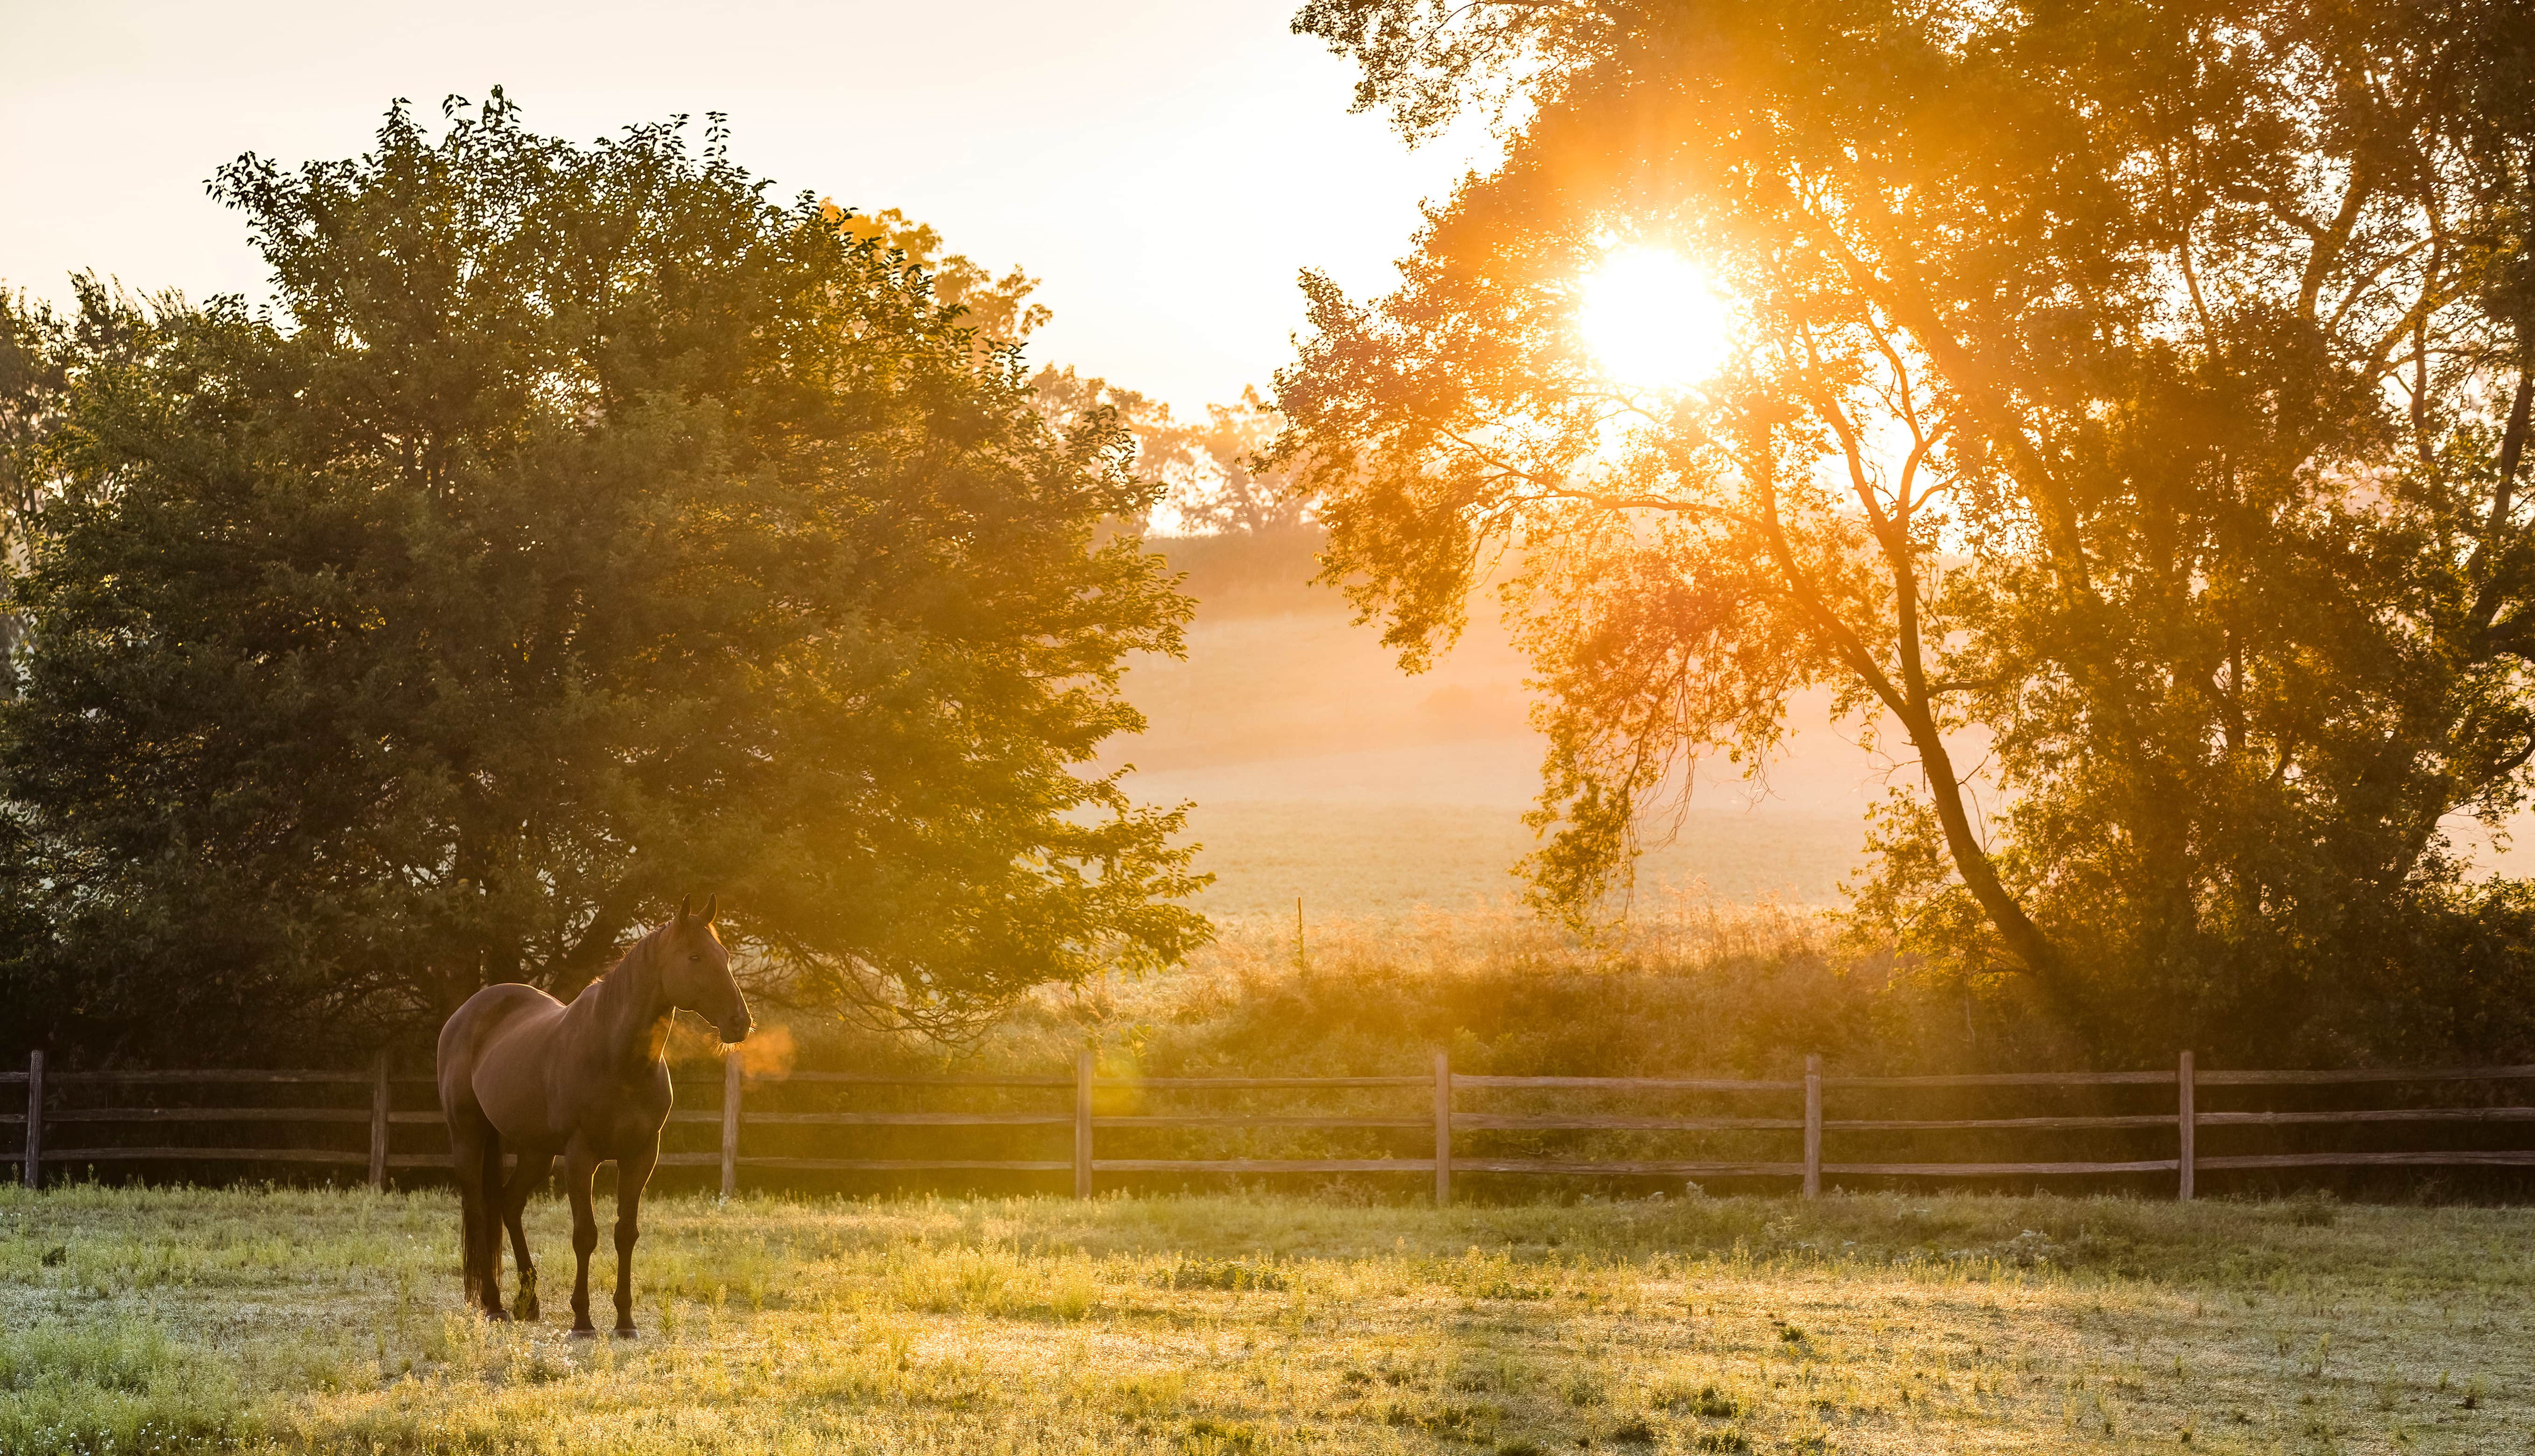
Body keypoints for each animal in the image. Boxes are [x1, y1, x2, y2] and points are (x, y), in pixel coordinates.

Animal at [435, 895, 752, 1336]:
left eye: (724, 957)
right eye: (694, 957)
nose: (741, 1022)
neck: (616, 1057)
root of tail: (464, 1014)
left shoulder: (641, 1156)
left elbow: (626, 1233)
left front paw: (625, 1319)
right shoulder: (581, 1157)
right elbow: (585, 1235)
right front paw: (583, 1319)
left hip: (536, 1152)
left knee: (509, 1205)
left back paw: (528, 1302)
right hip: (468, 1135)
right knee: (481, 1209)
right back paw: (494, 1304)